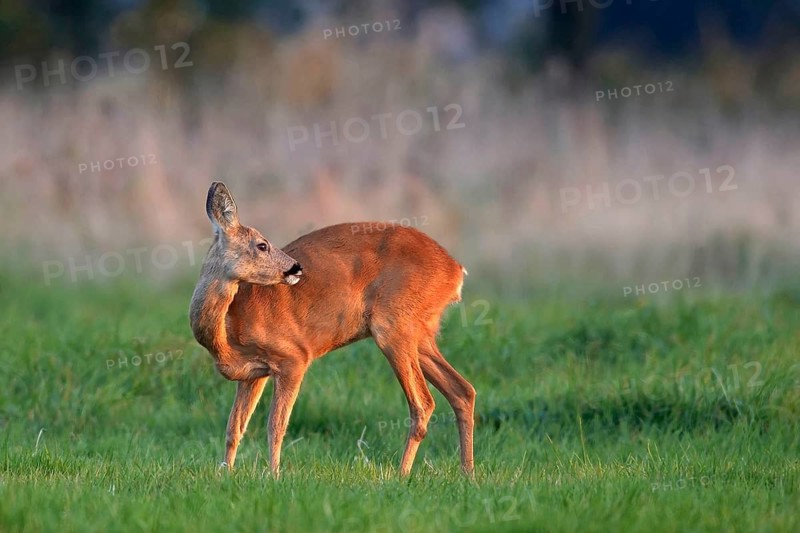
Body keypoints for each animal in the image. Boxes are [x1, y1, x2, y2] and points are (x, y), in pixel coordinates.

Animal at [189, 181, 476, 477]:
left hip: (393, 327)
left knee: (424, 403)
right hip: (420, 333)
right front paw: (225, 473)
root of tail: (456, 271)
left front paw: (275, 475)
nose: (296, 267)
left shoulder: (293, 357)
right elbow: (234, 428)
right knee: (463, 390)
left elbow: (276, 425)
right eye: (262, 245)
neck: (226, 334)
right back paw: (467, 472)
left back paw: (401, 474)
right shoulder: (252, 374)